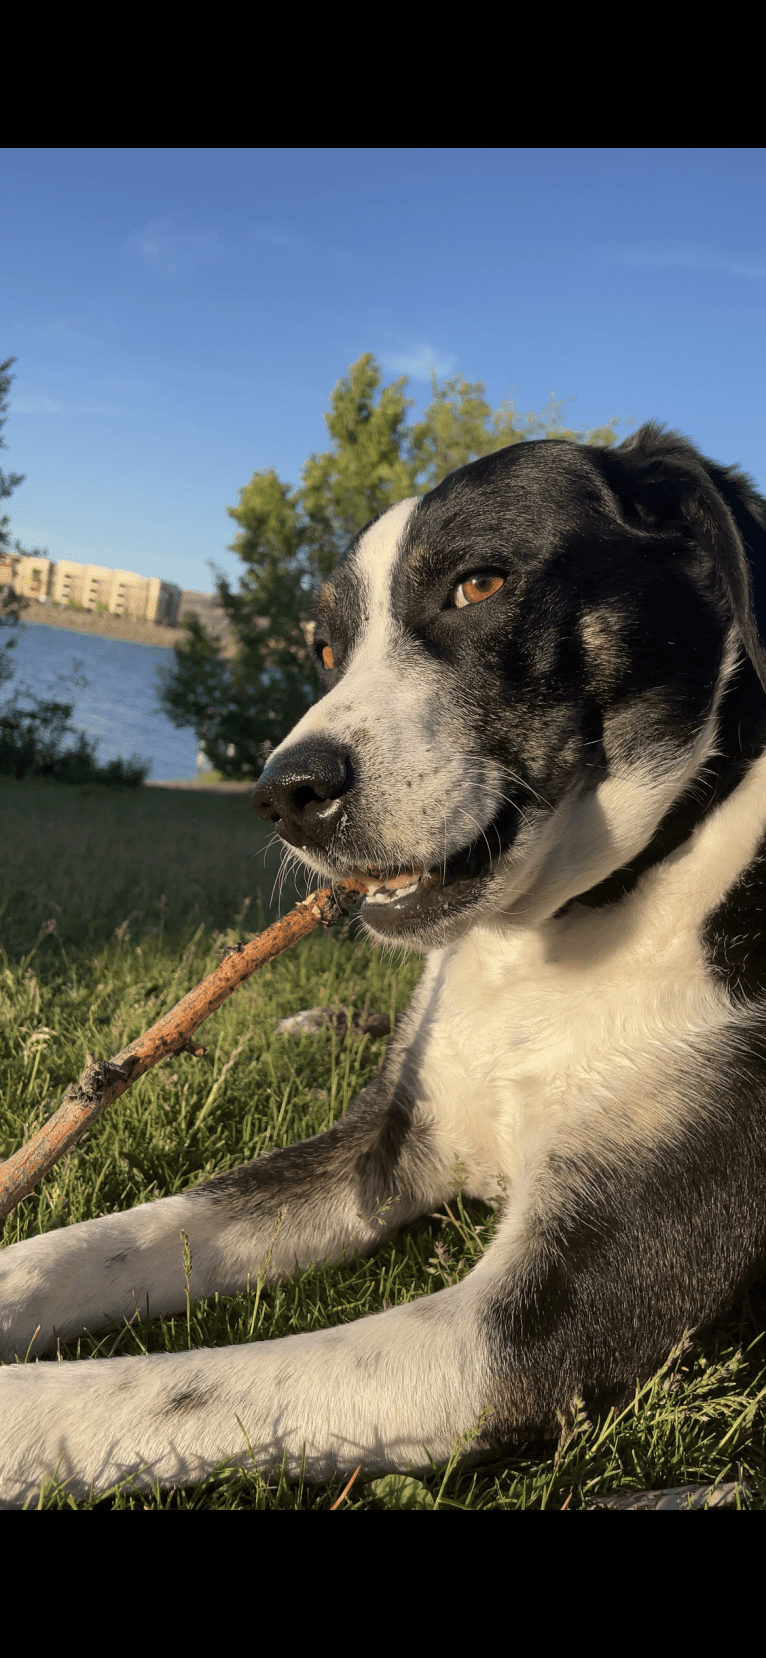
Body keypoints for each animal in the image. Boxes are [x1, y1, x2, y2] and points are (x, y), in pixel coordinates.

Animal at [1, 424, 766, 1505]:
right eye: (325, 647)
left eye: (480, 583)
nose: (286, 793)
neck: (569, 926)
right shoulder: (379, 1147)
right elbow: (102, 1242)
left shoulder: (541, 1326)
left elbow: (170, 1388)